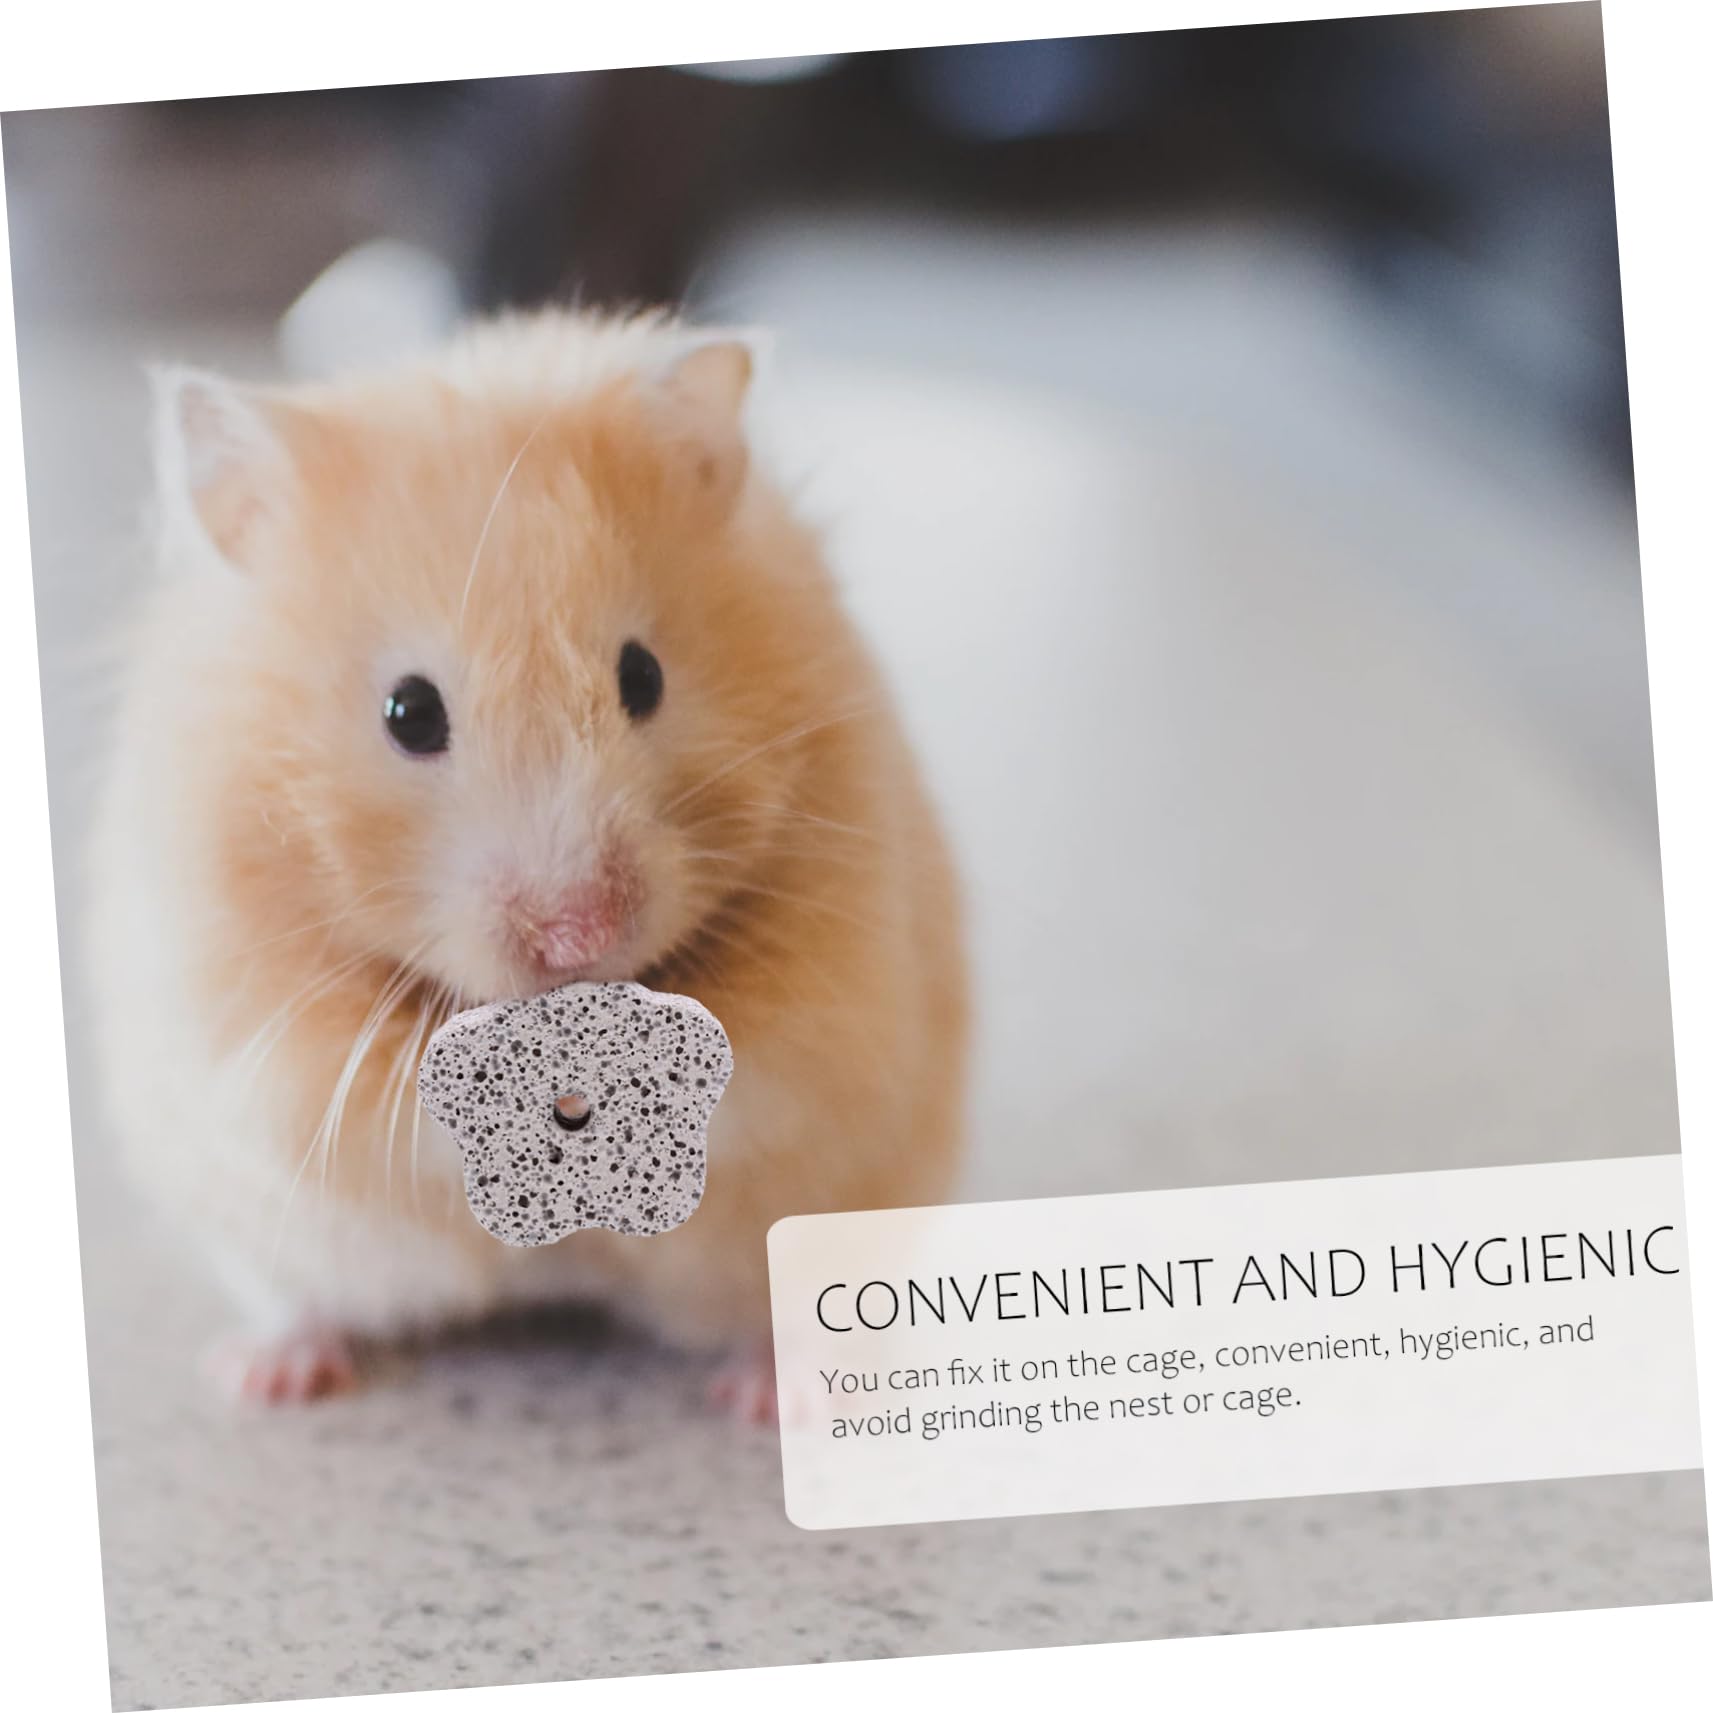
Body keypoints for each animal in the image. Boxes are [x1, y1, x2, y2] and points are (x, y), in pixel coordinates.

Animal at [84, 307, 969, 1412]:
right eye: (408, 713)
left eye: (644, 676)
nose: (578, 934)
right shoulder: (260, 1036)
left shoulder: (831, 1002)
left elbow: (746, 1081)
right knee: (302, 1300)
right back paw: (268, 1375)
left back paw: (771, 1396)